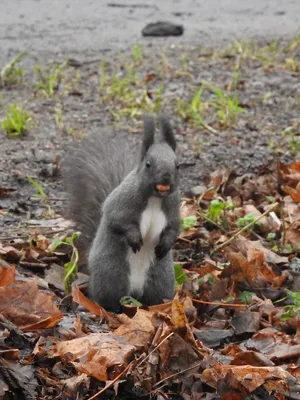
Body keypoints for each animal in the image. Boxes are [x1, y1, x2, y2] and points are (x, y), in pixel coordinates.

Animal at [64, 114, 179, 310]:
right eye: (148, 164)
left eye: (178, 165)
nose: (166, 177)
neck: (155, 199)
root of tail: (134, 293)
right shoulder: (120, 203)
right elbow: (117, 221)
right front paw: (134, 238)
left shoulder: (173, 208)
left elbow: (174, 228)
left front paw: (165, 243)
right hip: (112, 276)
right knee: (107, 299)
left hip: (160, 281)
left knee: (154, 299)